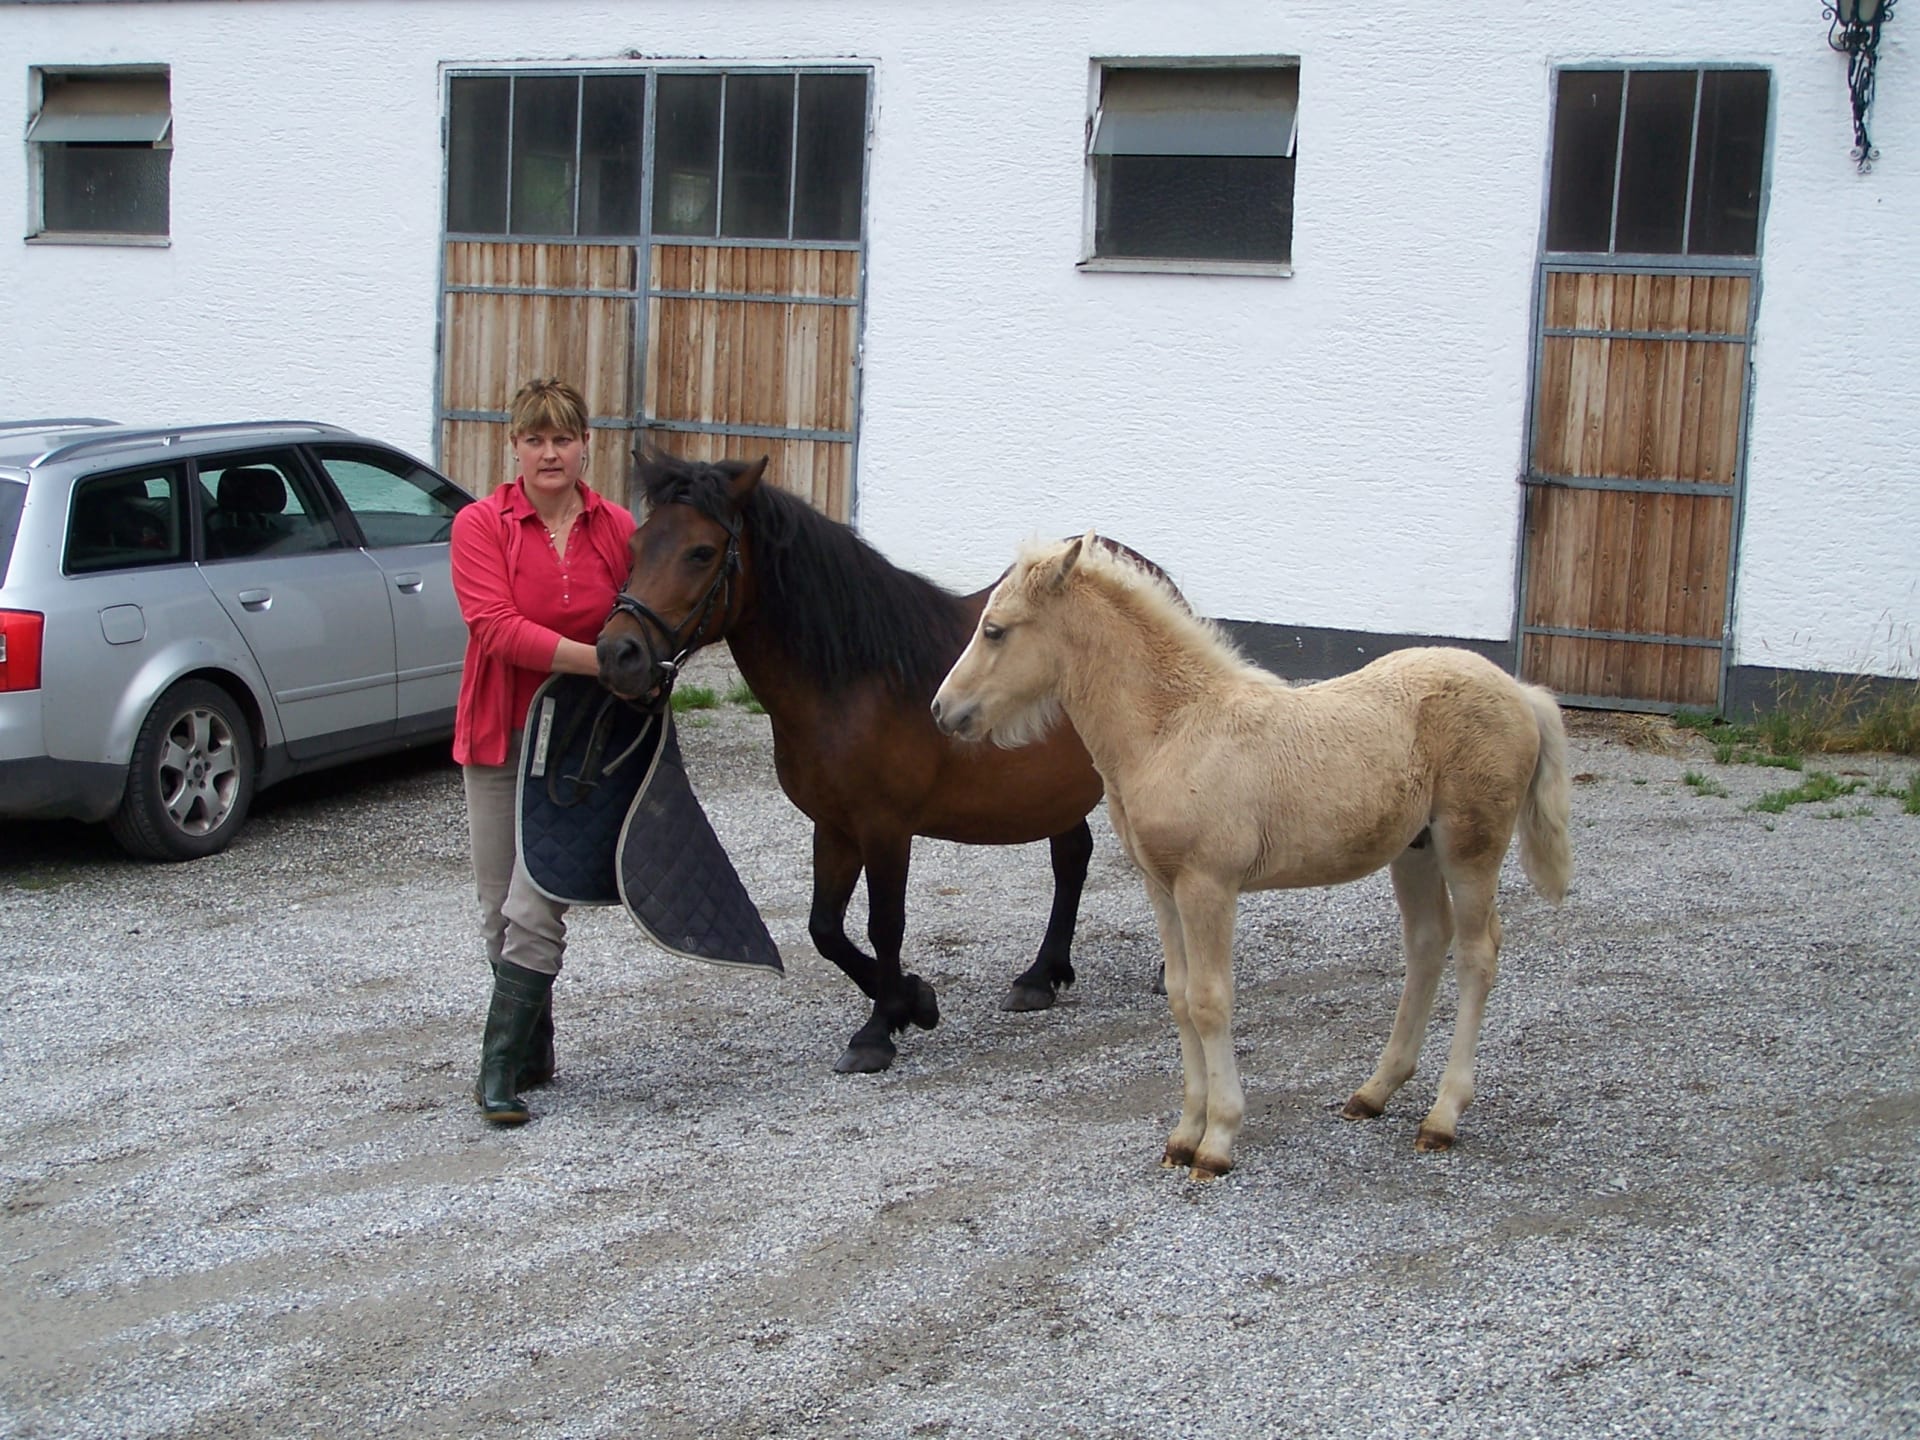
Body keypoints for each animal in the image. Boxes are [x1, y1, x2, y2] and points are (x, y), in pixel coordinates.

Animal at [595, 449, 1111, 1074]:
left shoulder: (885, 828)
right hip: (1060, 791)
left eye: (700, 551)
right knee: (1072, 858)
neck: (857, 680)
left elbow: (884, 924)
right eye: (637, 545)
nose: (617, 654)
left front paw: (877, 1031)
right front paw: (913, 1001)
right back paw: (1040, 977)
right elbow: (825, 929)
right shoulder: (834, 825)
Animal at [930, 533, 1574, 1178]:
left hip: (1470, 845)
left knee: (1477, 954)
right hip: (1414, 850)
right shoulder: (1161, 887)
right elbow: (1180, 997)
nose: (942, 710)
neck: (1172, 728)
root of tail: (1519, 691)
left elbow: (1211, 1001)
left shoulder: (1207, 885)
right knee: (1426, 944)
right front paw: (1183, 1135)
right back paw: (1374, 1092)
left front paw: (1217, 1141)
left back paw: (1442, 1116)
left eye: (995, 630)